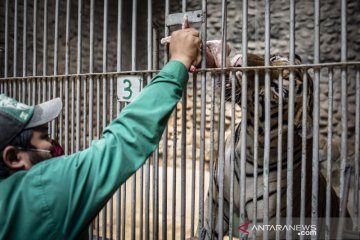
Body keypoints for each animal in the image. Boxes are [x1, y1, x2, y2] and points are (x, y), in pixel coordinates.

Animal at [200, 51, 354, 239]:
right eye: (272, 59)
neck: (249, 142)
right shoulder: (216, 202)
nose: (239, 62)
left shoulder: (264, 226)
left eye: (277, 89)